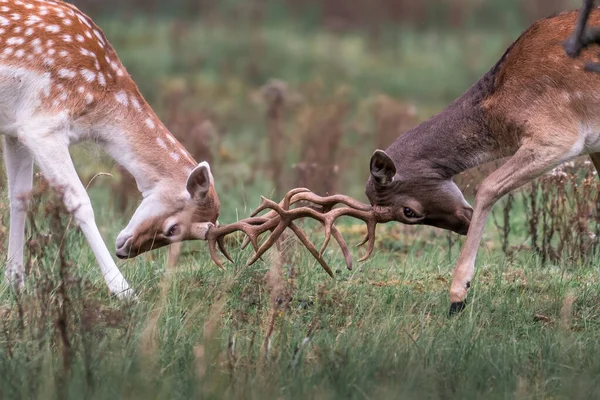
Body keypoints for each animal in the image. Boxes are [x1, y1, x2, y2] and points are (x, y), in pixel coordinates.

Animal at [0, 0, 220, 298]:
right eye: (174, 229)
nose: (124, 250)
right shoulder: (42, 125)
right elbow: (80, 202)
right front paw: (124, 291)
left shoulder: (15, 129)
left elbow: (19, 198)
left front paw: (16, 285)